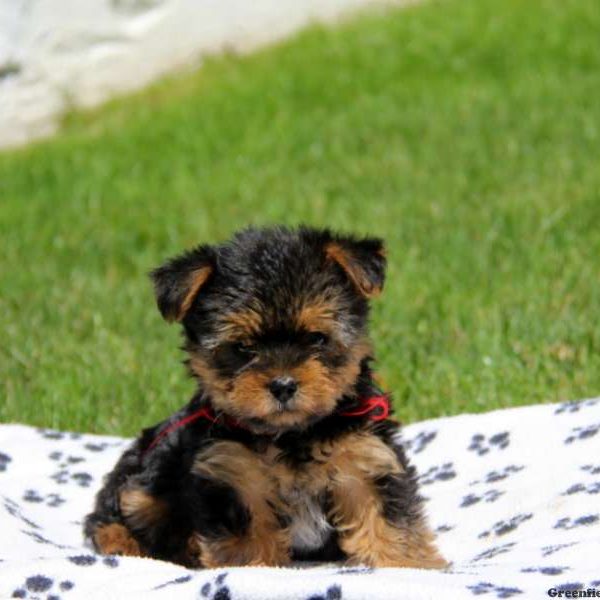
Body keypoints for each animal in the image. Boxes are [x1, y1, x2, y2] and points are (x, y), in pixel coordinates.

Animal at [86, 225, 448, 568]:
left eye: (317, 338)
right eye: (243, 347)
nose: (283, 385)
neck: (292, 433)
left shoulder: (365, 454)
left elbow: (387, 516)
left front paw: (406, 564)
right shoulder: (232, 471)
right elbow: (247, 533)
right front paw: (252, 566)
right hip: (148, 476)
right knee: (114, 510)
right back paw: (124, 543)